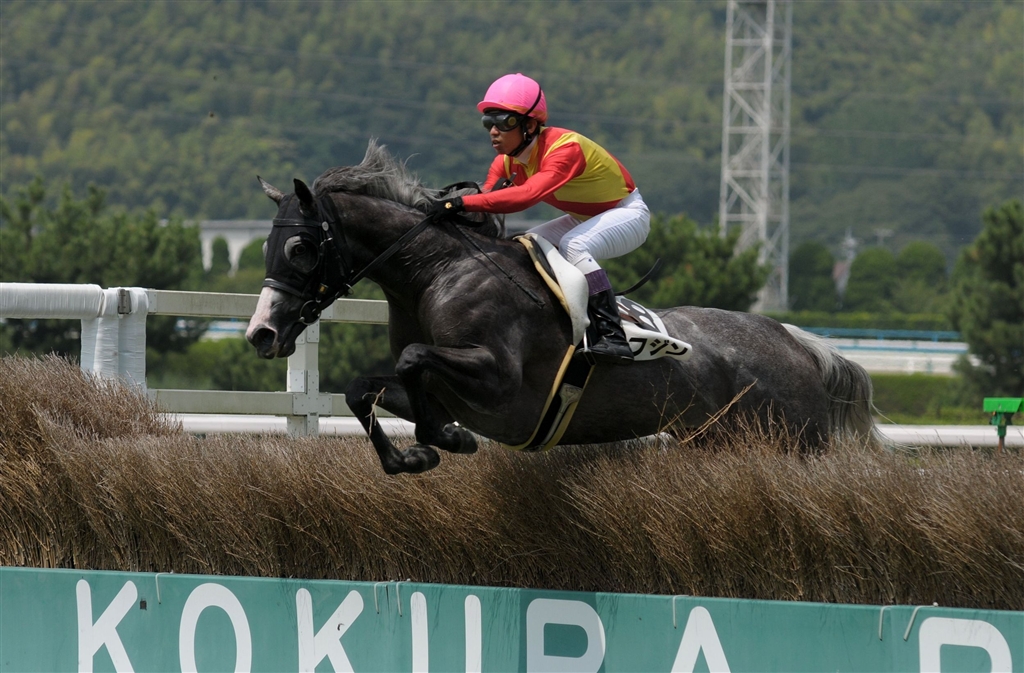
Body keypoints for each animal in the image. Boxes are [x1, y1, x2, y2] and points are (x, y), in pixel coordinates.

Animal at [246, 141, 879, 474]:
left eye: (300, 248)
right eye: (265, 247)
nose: (260, 334)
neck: (435, 273)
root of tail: (798, 343)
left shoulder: (500, 385)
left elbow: (413, 358)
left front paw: (441, 439)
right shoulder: (454, 392)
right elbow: (365, 388)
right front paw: (418, 452)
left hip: (794, 443)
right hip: (717, 440)